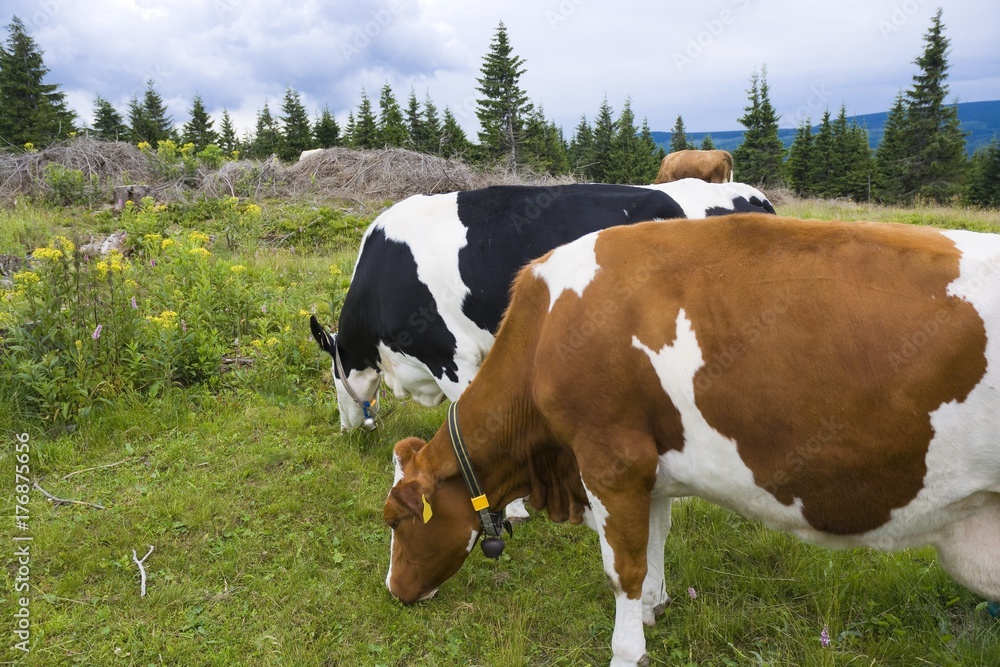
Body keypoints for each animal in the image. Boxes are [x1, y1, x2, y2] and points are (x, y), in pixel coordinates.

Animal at [384, 215, 1000, 667]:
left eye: (396, 521)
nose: (393, 590)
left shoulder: (611, 462)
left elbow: (623, 569)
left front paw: (626, 651)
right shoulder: (649, 470)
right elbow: (655, 544)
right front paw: (653, 609)